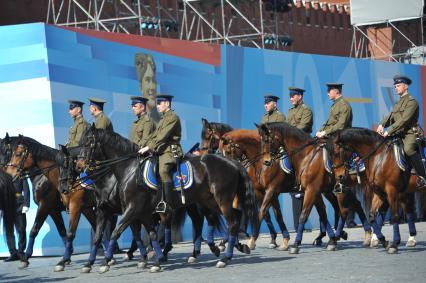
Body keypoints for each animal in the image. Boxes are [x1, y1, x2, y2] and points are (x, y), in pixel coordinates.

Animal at [1, 135, 98, 270]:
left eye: (17, 153)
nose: (8, 173)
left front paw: (26, 257)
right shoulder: (54, 210)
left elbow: (34, 229)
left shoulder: (45, 205)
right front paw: (67, 257)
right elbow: (62, 231)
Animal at [76, 127, 256, 272]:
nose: (79, 165)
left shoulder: (133, 209)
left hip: (221, 199)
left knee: (230, 221)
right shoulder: (138, 212)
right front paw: (157, 260)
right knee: (229, 217)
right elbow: (148, 235)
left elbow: (117, 232)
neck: (128, 170)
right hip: (209, 201)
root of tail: (232, 162)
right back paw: (230, 248)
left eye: (88, 143)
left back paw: (225, 257)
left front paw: (106, 262)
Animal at [220, 129, 350, 251]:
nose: (228, 170)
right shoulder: (262, 192)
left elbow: (263, 212)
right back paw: (330, 236)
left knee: (339, 209)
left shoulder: (272, 190)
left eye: (228, 151)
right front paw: (281, 240)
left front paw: (252, 240)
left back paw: (336, 235)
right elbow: (274, 215)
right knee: (328, 209)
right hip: (323, 190)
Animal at [256, 123, 372, 254]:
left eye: (268, 140)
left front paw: (295, 244)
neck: (306, 156)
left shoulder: (304, 190)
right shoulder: (312, 191)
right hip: (335, 190)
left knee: (344, 210)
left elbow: (303, 215)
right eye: (261, 141)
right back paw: (361, 235)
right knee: (352, 205)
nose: (266, 161)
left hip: (341, 189)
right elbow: (322, 214)